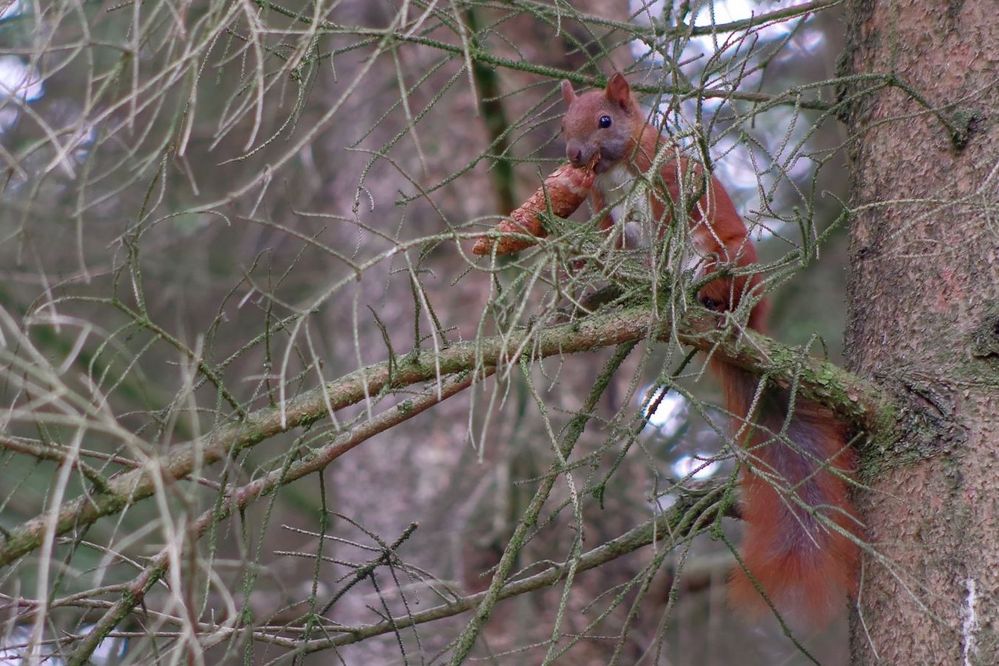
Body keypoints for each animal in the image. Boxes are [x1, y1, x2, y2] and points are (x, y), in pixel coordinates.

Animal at [564, 75, 860, 624]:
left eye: (605, 121)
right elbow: (613, 243)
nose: (573, 155)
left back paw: (713, 302)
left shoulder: (670, 189)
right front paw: (598, 277)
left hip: (727, 255)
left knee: (720, 282)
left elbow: (663, 232)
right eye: (562, 124)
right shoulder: (605, 212)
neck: (616, 172)